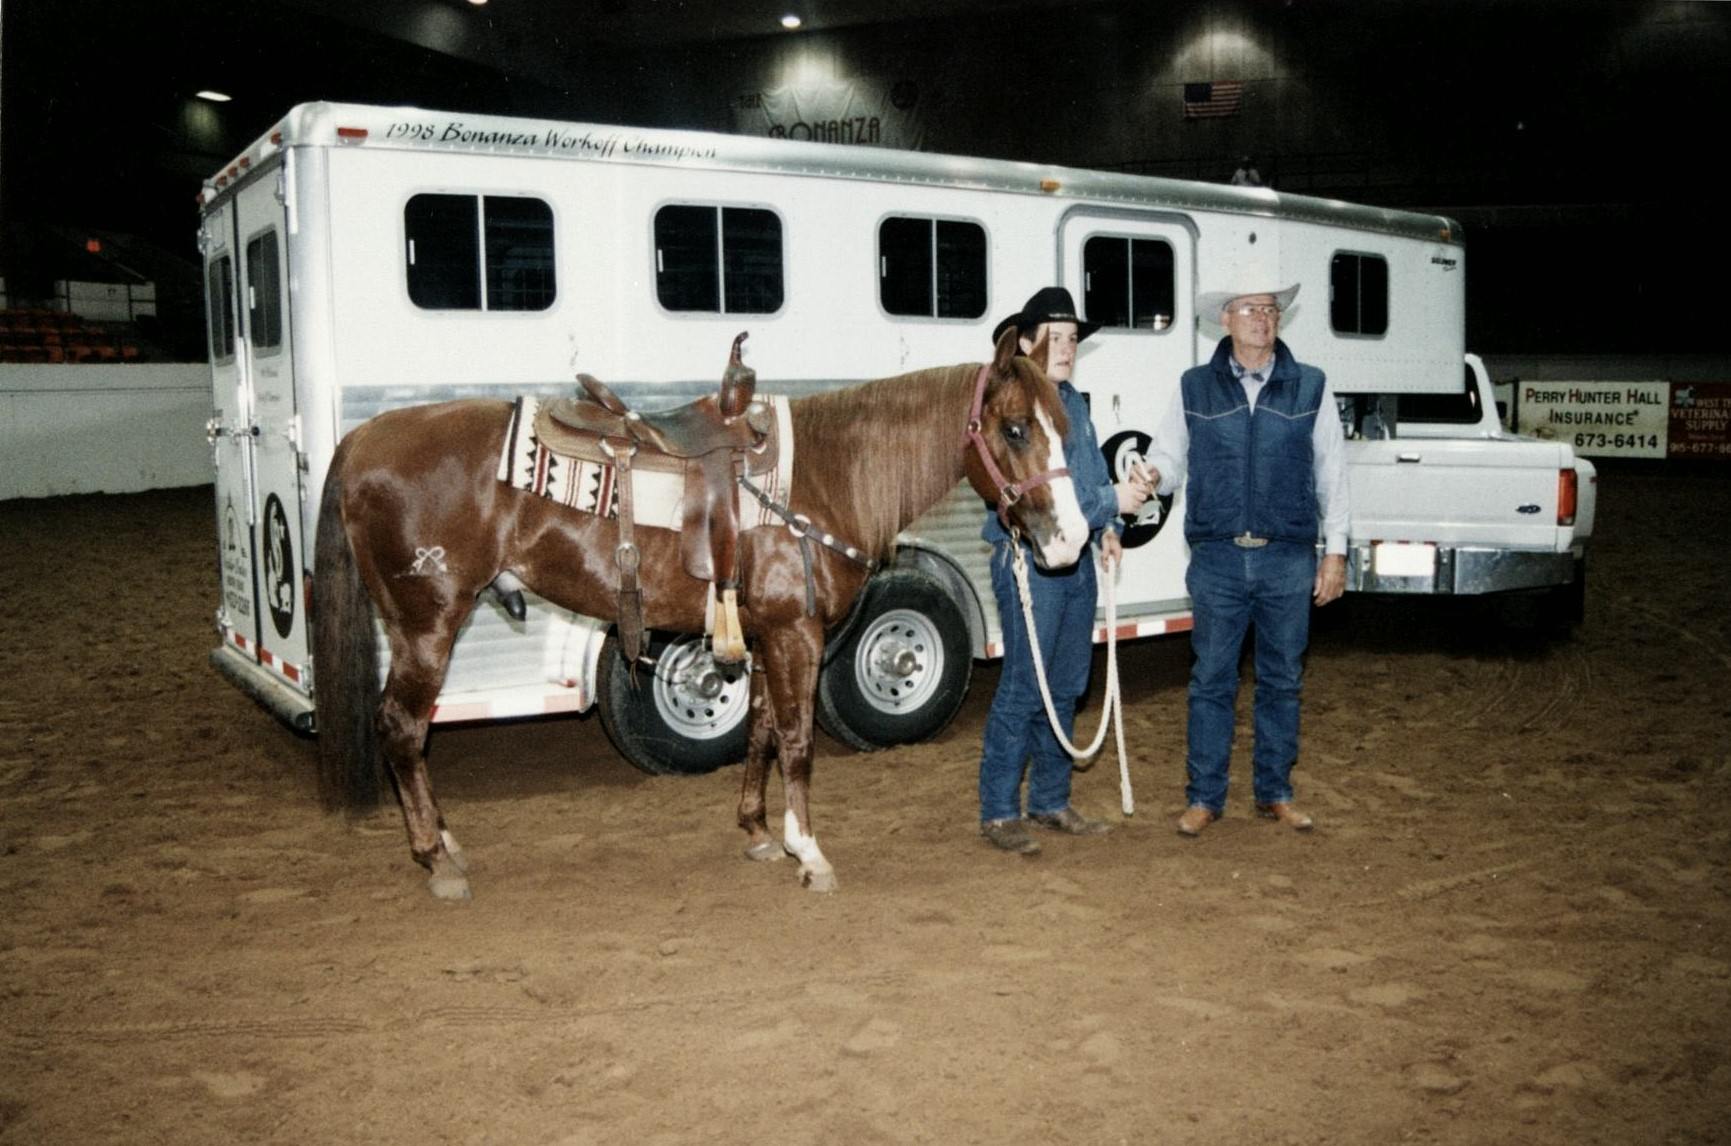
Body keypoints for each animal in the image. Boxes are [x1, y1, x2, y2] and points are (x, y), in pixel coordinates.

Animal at [311, 325, 1089, 899]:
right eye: (1015, 429)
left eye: (1060, 425)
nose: (1072, 540)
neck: (827, 476)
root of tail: (360, 441)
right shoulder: (797, 635)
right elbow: (798, 741)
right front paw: (811, 853)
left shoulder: (769, 634)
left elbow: (763, 732)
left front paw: (759, 832)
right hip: (427, 623)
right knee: (401, 727)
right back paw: (435, 859)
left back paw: (444, 841)